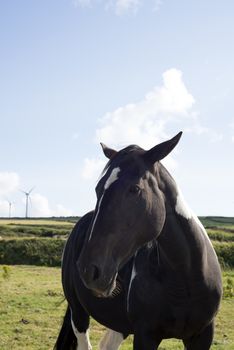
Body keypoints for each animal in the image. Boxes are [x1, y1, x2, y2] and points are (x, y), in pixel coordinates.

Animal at [54, 133, 221, 348]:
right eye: (98, 189)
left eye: (134, 189)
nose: (88, 271)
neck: (186, 277)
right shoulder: (145, 335)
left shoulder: (202, 335)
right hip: (79, 313)